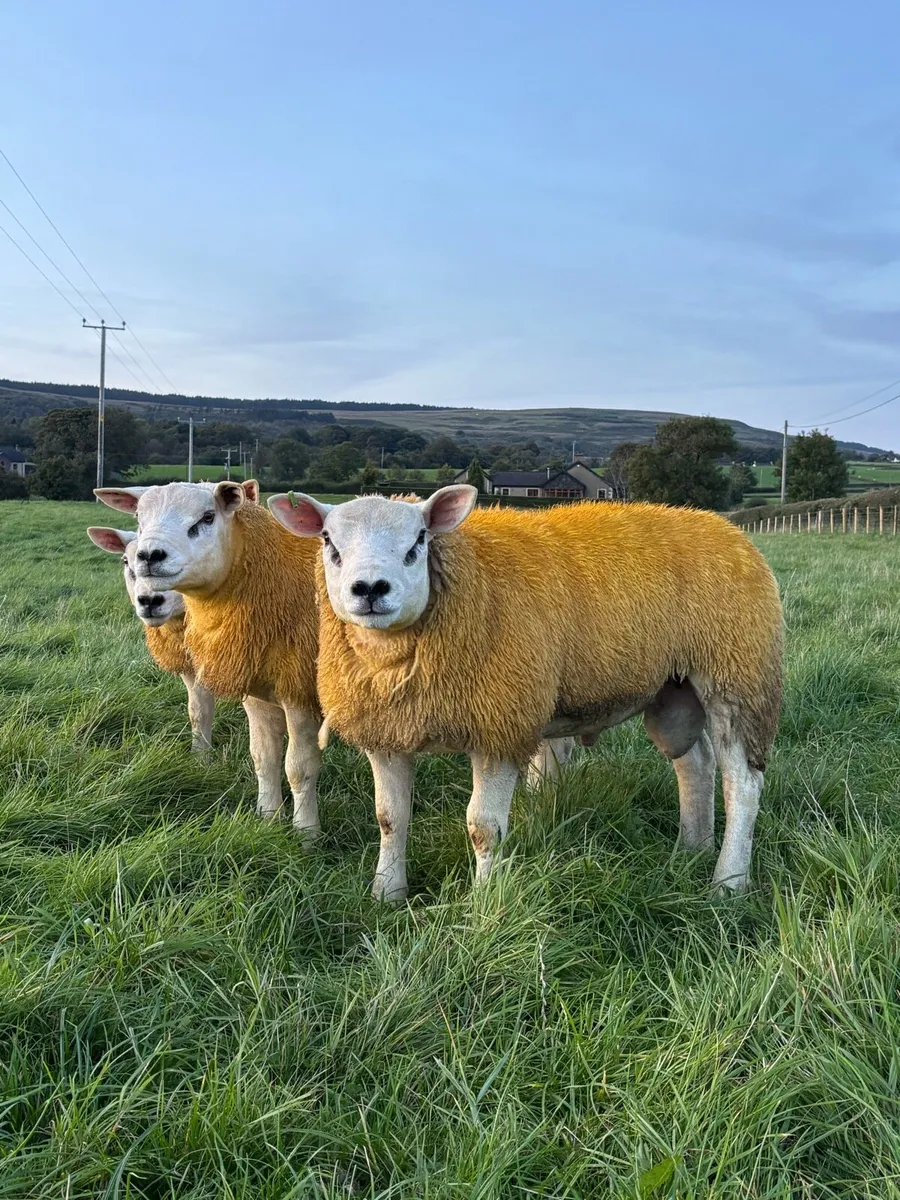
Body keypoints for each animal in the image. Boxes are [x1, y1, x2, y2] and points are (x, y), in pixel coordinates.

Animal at [269, 486, 783, 900]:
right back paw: (690, 851)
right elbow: (390, 818)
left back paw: (728, 882)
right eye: (328, 542)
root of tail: (723, 526)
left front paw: (482, 905)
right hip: (673, 689)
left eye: (419, 540)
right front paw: (386, 894)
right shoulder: (388, 731)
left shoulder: (500, 726)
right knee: (695, 764)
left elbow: (483, 828)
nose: (371, 588)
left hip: (738, 675)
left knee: (743, 784)